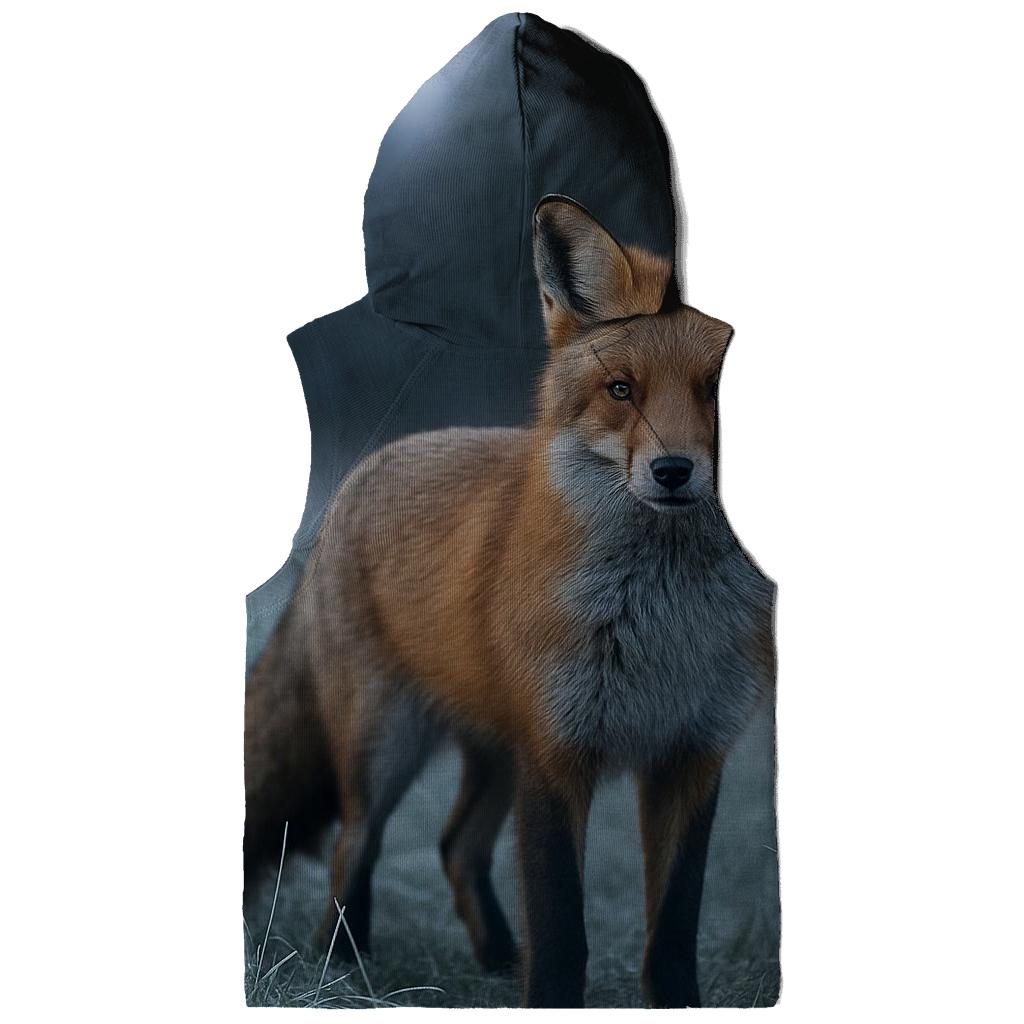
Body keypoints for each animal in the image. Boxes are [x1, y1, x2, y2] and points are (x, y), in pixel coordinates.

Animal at [244, 195, 775, 1008]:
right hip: (387, 741)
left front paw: (674, 1002)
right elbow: (560, 924)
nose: (674, 471)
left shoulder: (691, 755)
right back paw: (345, 967)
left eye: (719, 390)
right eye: (622, 390)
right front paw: (547, 994)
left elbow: (673, 926)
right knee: (353, 844)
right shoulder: (556, 753)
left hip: (496, 746)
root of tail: (367, 469)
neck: (664, 621)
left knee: (455, 845)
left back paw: (496, 960)